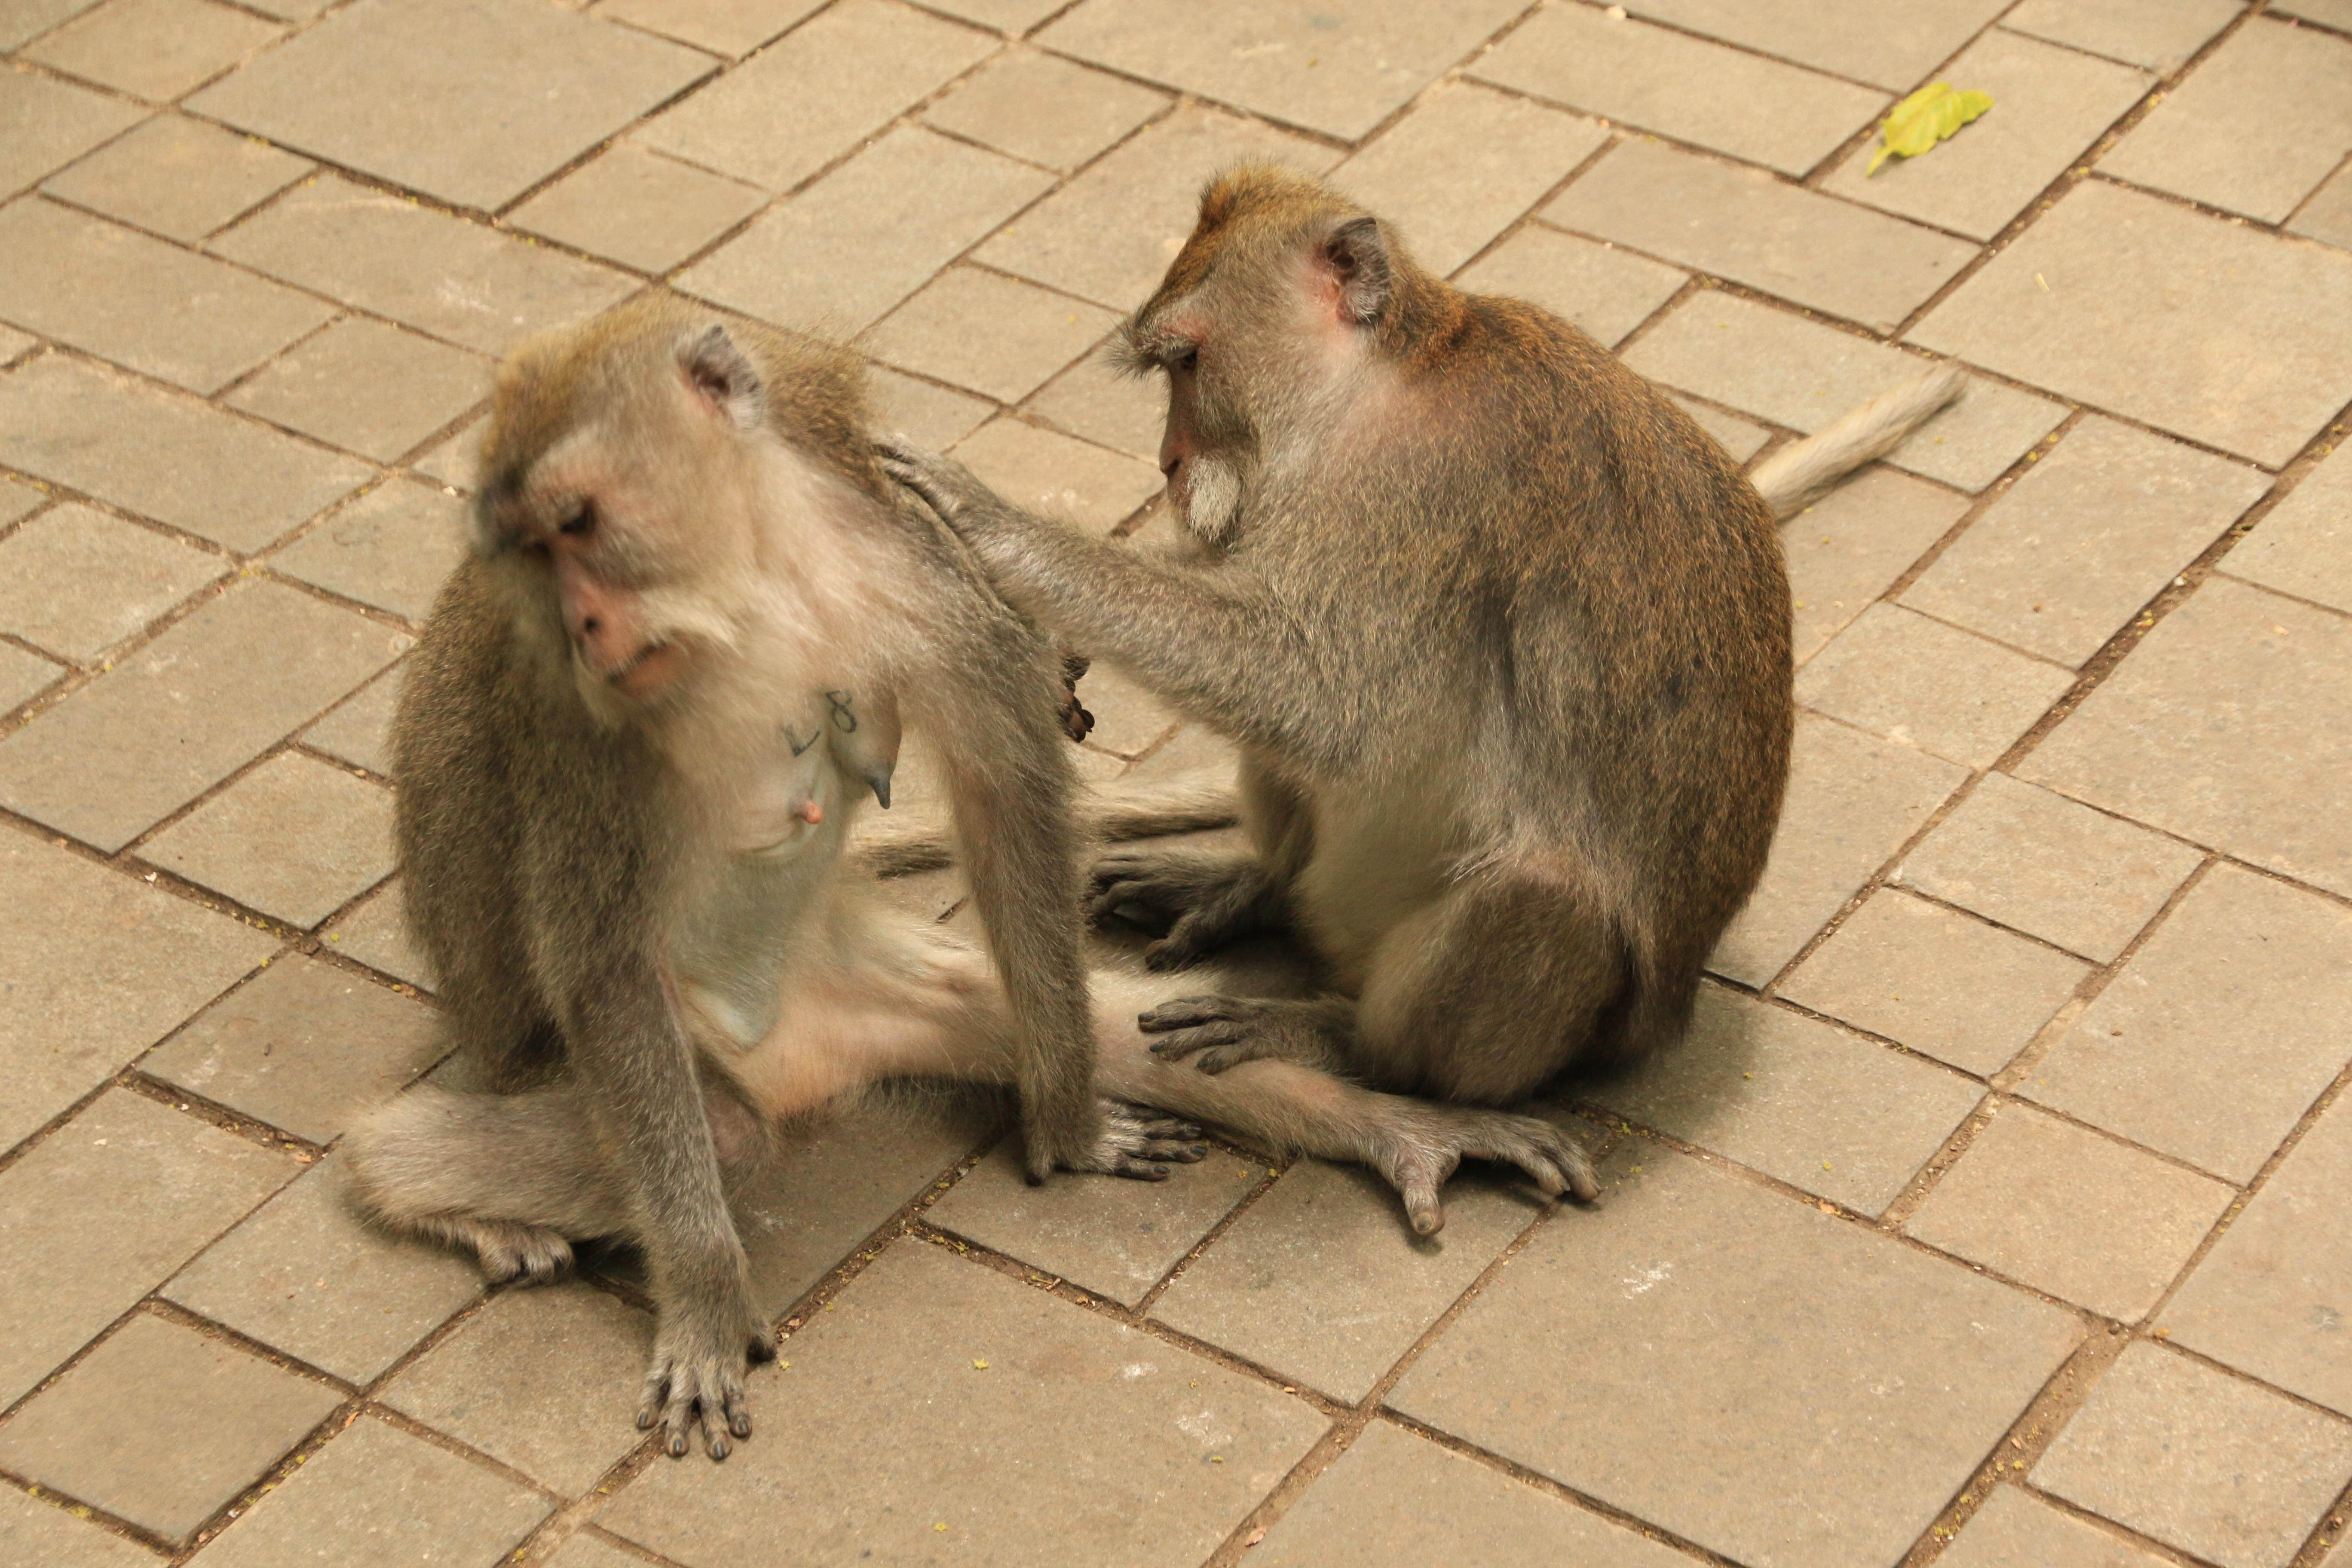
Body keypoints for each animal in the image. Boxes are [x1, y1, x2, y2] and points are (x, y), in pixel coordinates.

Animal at [344, 292, 1597, 1463]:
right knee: (713, 1132)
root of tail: (815, 1063)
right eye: (529, 555)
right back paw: (424, 1196)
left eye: (579, 524)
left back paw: (1400, 1128)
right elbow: (605, 966)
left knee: (1088, 1022)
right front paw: (702, 1300)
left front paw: (1074, 1127)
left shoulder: (904, 567)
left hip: (883, 977)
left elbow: (1005, 792)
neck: (760, 601)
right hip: (599, 1065)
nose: (587, 625)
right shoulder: (581, 725)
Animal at [881, 164, 1965, 1199]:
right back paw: (1257, 888)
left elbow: (1321, 697)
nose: (1168, 460)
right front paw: (1053, 631)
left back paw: (1344, 1039)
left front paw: (994, 528)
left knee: (1539, 890)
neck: (1400, 369)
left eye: (1186, 363)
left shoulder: (1413, 495)